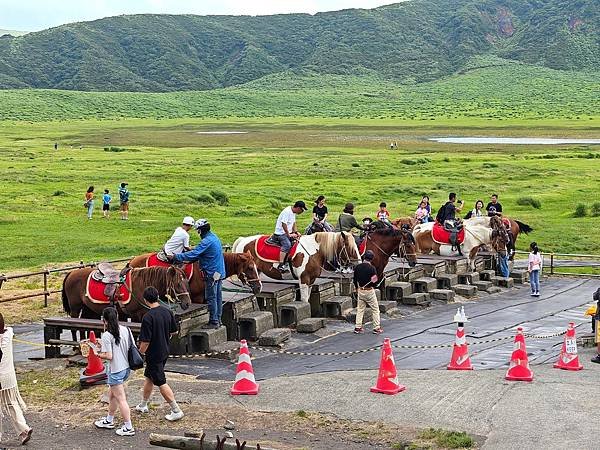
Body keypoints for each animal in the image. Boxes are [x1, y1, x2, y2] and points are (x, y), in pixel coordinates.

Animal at [62, 266, 190, 326]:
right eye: (178, 284)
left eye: (186, 282)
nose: (187, 303)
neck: (142, 284)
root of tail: (71, 273)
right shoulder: (136, 315)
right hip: (75, 308)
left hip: (88, 308)